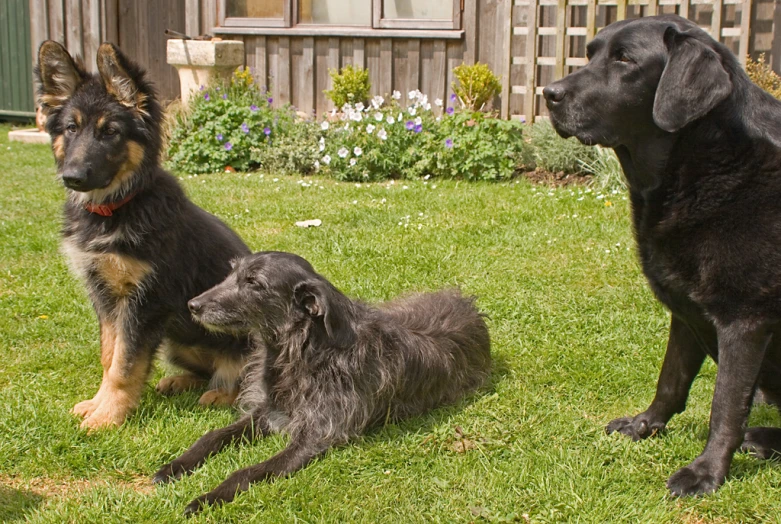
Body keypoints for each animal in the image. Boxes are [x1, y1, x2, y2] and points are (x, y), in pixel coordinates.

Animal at [37, 42, 250, 430]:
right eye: (71, 128)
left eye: (110, 132)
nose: (72, 177)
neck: (117, 209)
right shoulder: (105, 296)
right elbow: (110, 355)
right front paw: (98, 403)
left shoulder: (145, 301)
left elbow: (126, 362)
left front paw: (108, 415)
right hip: (178, 340)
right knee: (207, 371)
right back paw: (181, 382)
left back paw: (221, 394)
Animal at [153, 252, 490, 512]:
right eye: (232, 272)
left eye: (254, 283)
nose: (193, 305)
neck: (302, 352)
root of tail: (469, 304)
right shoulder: (268, 410)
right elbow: (212, 436)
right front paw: (175, 466)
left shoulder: (317, 435)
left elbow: (248, 471)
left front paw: (207, 498)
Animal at [544, 13, 781, 496]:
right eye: (591, 53)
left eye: (625, 60)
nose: (548, 94)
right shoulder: (686, 310)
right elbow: (670, 381)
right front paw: (644, 425)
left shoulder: (745, 319)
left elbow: (726, 405)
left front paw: (706, 472)